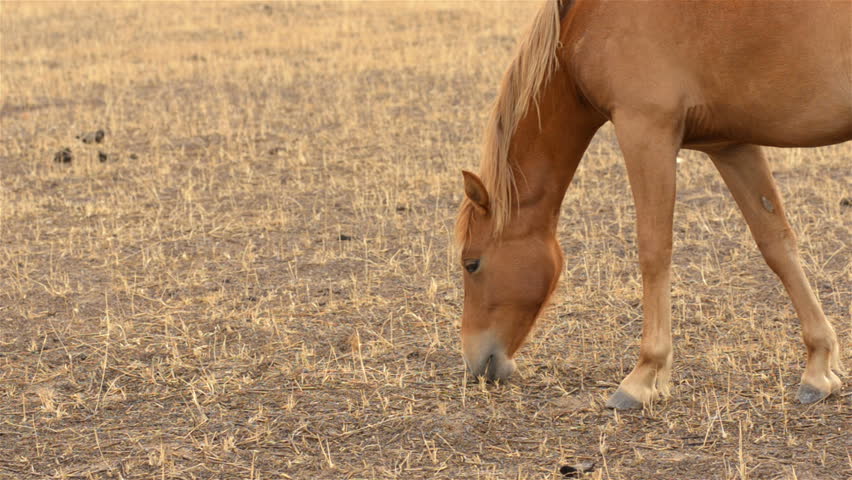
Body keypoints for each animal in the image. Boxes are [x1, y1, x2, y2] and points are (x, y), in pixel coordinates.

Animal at [455, 0, 849, 409]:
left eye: (471, 264)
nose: (474, 361)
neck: (584, 23)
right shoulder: (731, 146)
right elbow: (777, 245)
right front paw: (819, 367)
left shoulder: (644, 131)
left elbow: (653, 251)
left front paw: (643, 375)